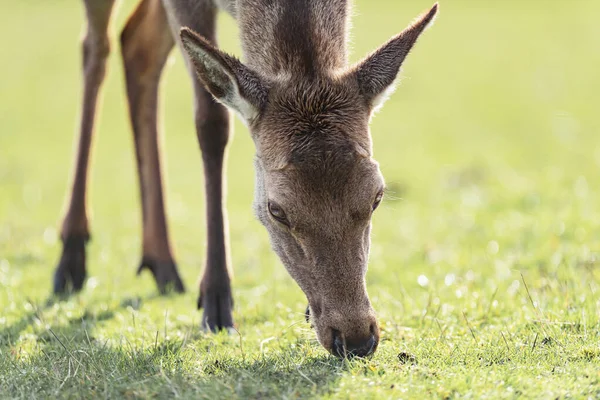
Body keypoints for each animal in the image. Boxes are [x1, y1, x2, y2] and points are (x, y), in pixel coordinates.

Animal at [55, 0, 436, 358]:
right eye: (276, 210)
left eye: (377, 196)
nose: (356, 338)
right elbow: (211, 122)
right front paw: (216, 302)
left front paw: (305, 311)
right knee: (96, 46)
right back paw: (71, 255)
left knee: (137, 43)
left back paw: (163, 264)